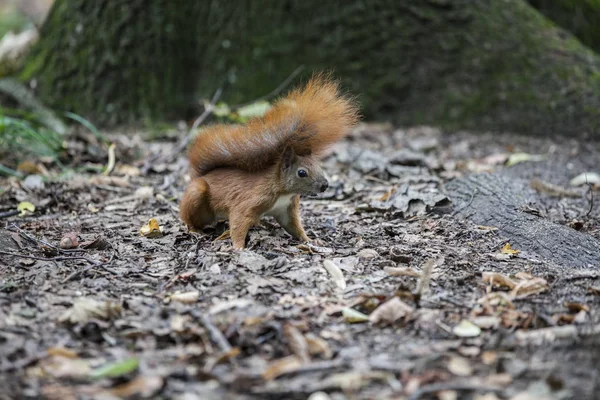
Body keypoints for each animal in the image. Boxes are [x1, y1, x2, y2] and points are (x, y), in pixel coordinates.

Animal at [178, 74, 358, 248]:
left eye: (319, 166)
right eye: (301, 173)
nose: (324, 186)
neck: (283, 192)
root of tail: (202, 176)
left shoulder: (287, 210)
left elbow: (294, 227)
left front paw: (310, 240)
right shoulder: (250, 201)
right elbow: (238, 222)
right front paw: (238, 247)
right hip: (197, 196)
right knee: (190, 219)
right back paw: (195, 231)